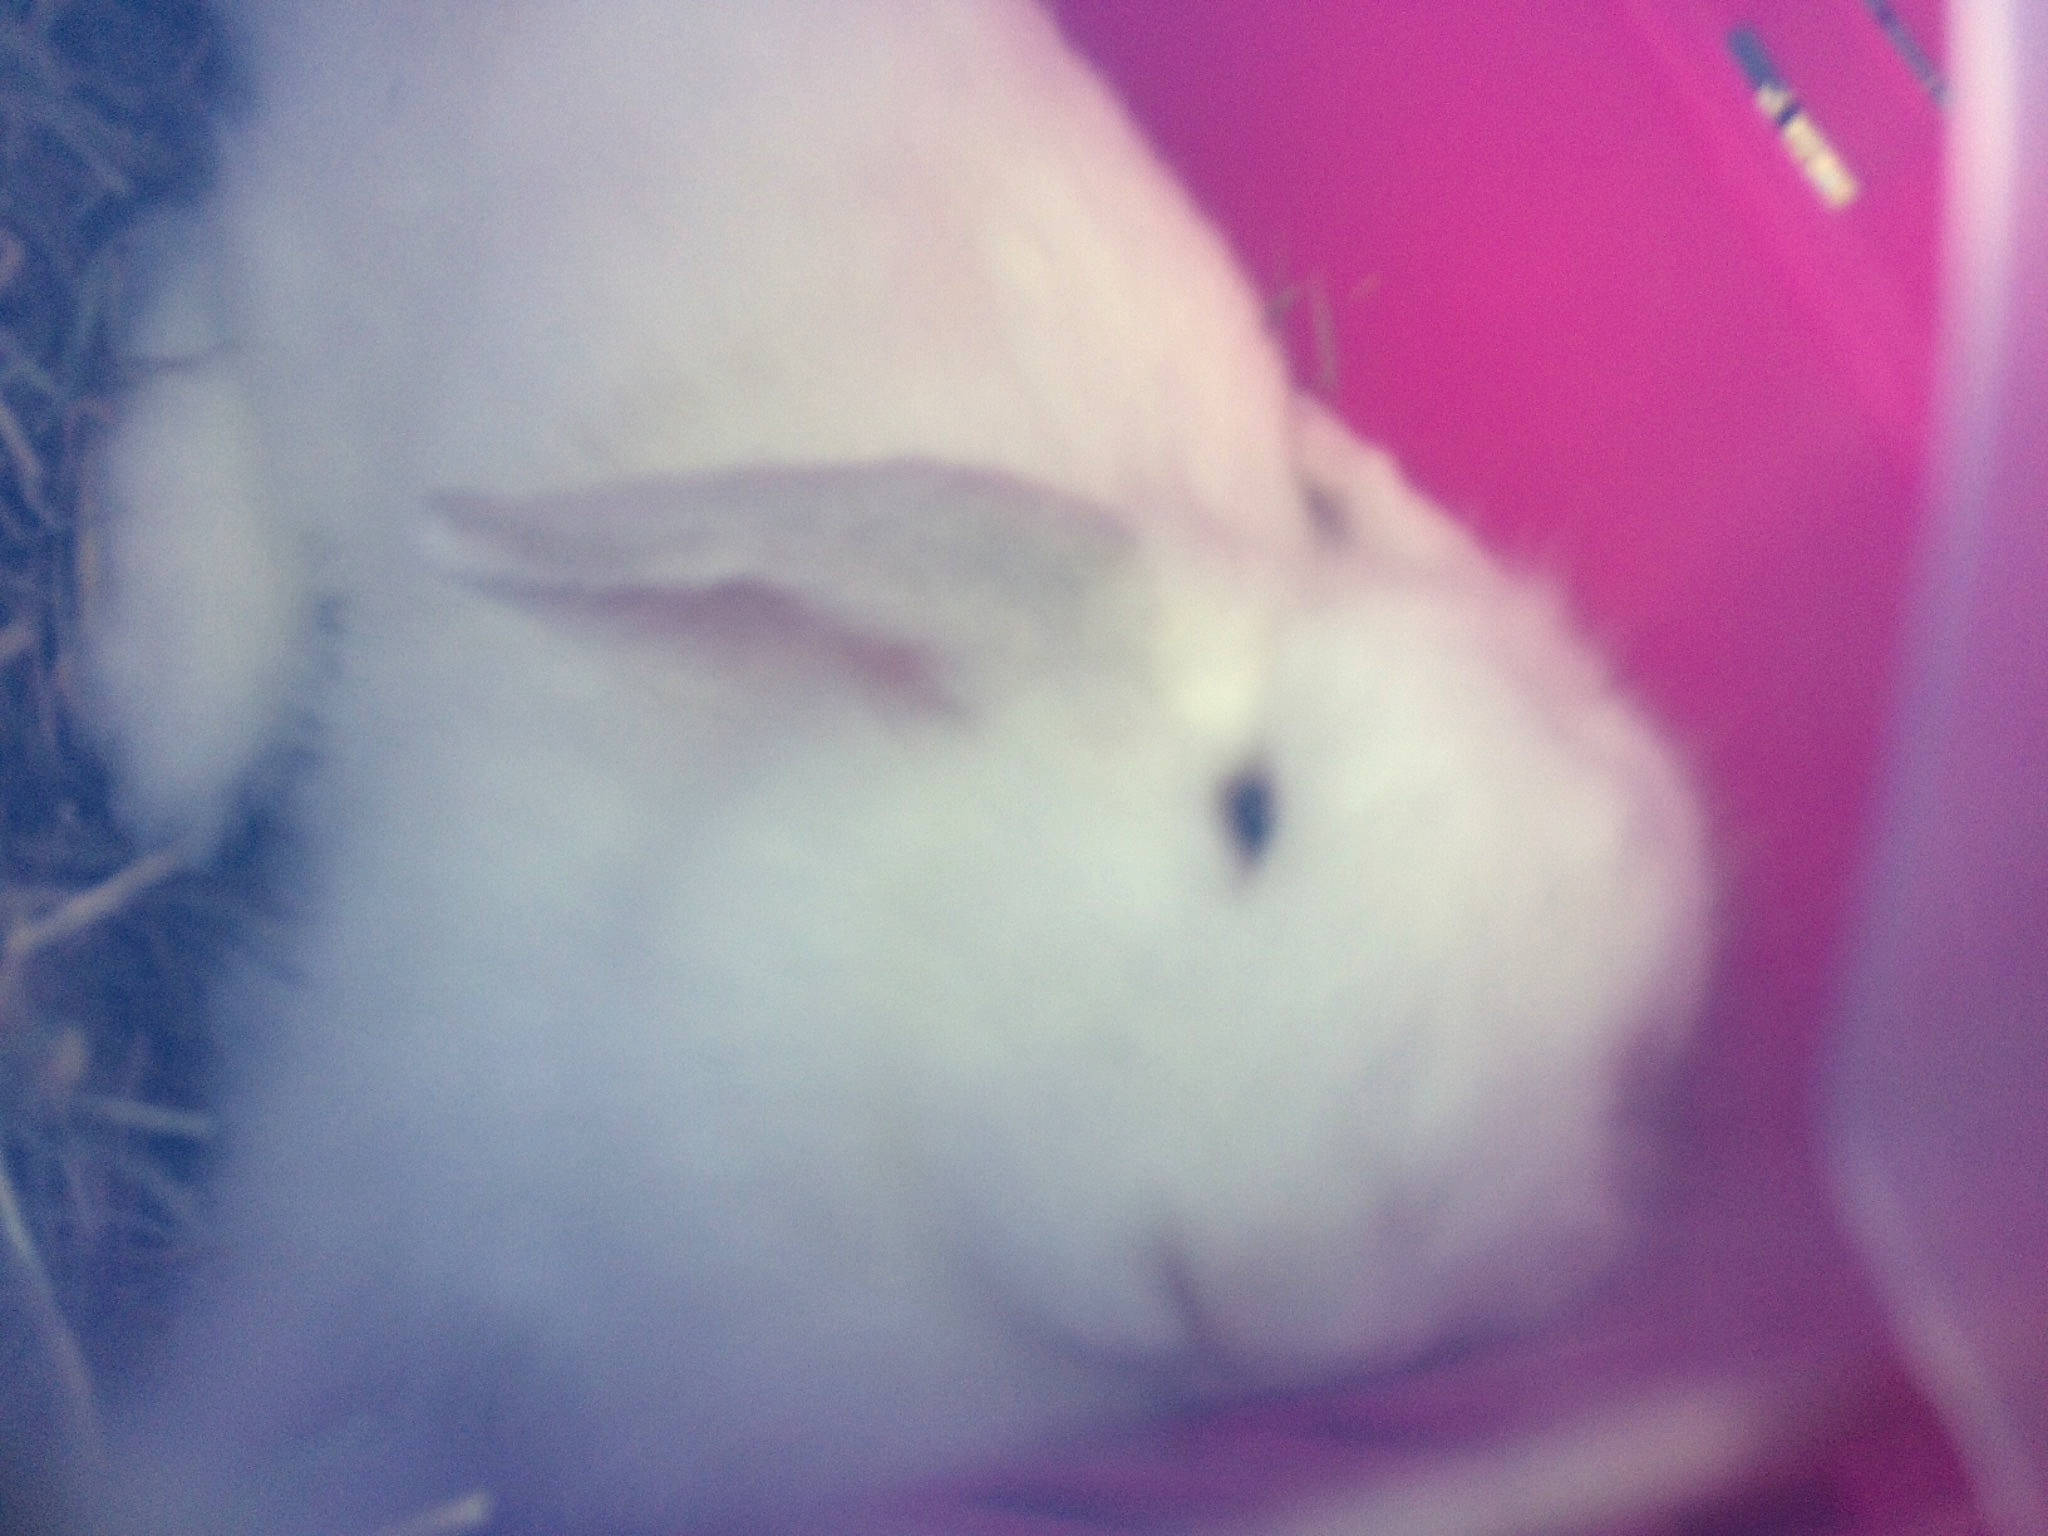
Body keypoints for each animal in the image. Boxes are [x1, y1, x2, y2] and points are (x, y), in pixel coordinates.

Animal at [78, 1, 1713, 1532]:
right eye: (1247, 811)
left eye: (1625, 1077)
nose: (1259, 1310)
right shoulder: (345, 1167)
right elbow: (232, 1382)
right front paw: (140, 1485)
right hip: (318, 248)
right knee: (197, 278)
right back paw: (174, 716)